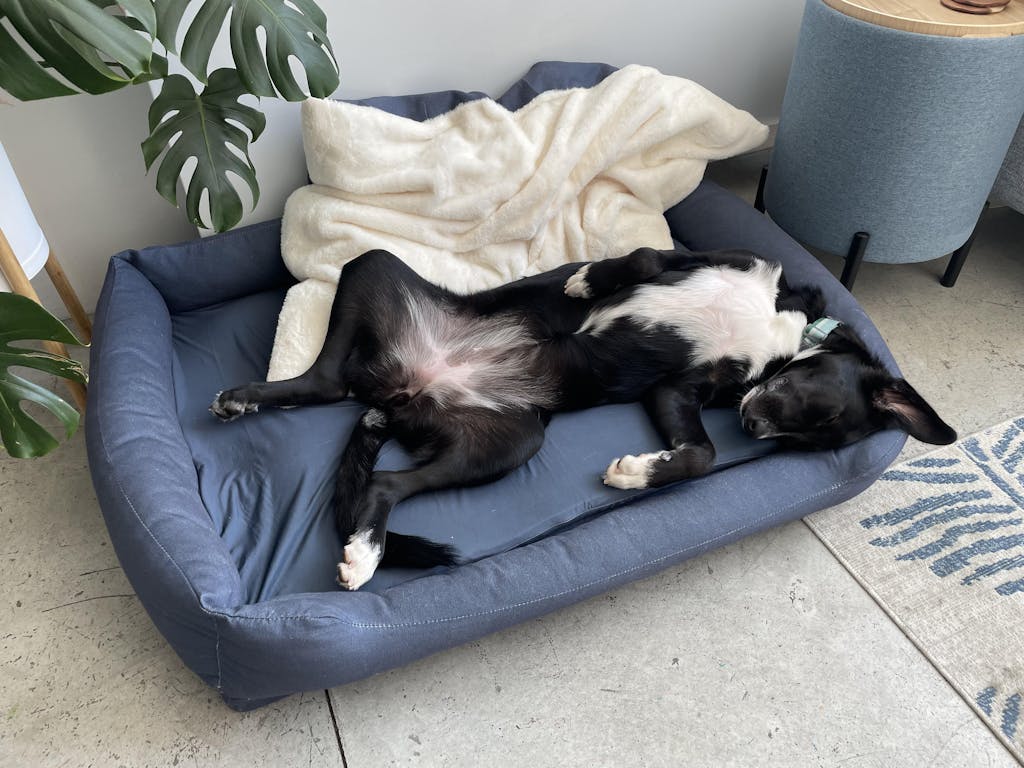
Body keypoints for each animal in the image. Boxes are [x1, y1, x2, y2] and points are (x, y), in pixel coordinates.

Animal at [211, 246, 954, 589]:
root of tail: (403, 391)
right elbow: (643, 255)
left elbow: (701, 454)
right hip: (375, 267)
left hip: (507, 443)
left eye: (809, 441)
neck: (785, 335)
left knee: (377, 465)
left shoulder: (680, 390)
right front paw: (586, 279)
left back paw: (364, 551)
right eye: (814, 404)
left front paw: (636, 472)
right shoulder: (710, 260)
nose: (752, 427)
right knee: (326, 382)